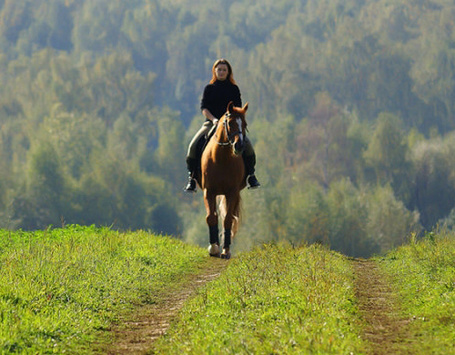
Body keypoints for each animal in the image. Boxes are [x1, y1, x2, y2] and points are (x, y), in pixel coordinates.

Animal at [198, 101, 249, 260]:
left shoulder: (232, 192)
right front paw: (213, 248)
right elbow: (211, 217)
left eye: (244, 124)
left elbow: (227, 219)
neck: (221, 158)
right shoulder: (209, 191)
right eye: (230, 123)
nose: (239, 146)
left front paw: (226, 250)